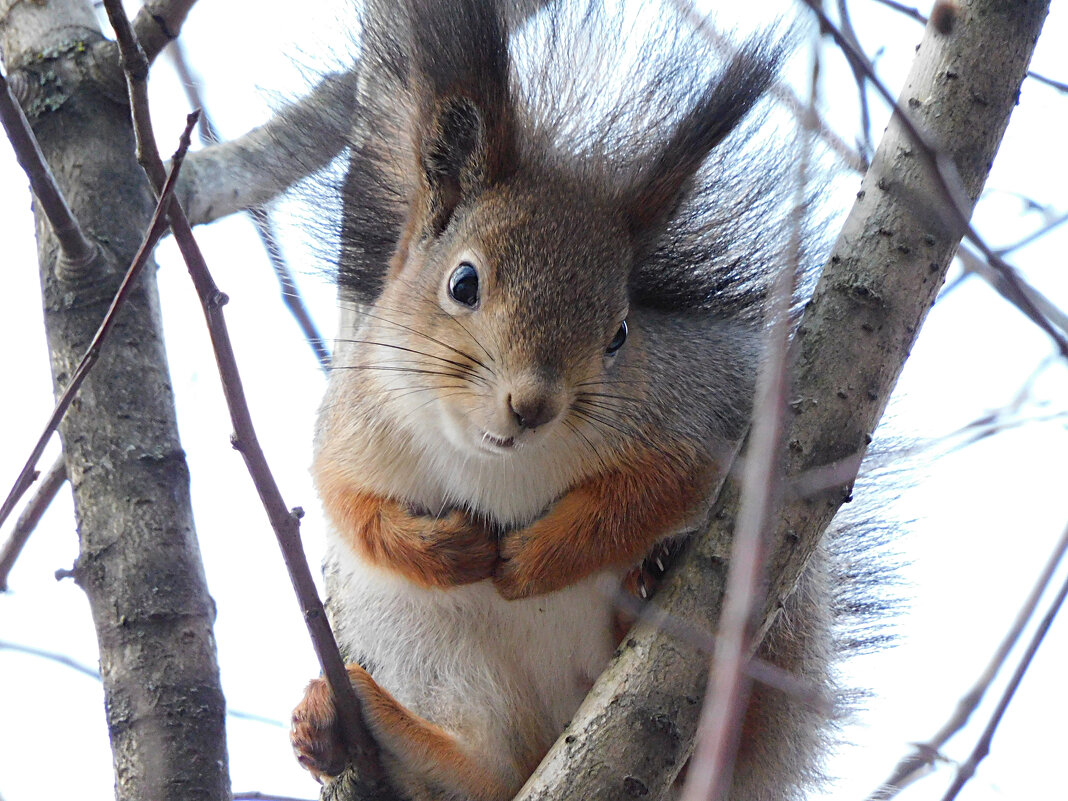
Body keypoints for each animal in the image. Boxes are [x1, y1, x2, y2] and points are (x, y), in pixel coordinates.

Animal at [290, 1, 833, 801]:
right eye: (462, 283)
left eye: (621, 333)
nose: (534, 404)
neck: (494, 462)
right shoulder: (354, 424)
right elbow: (351, 506)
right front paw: (446, 549)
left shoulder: (698, 414)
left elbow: (655, 491)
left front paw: (536, 559)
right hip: (446, 664)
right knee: (489, 772)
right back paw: (350, 714)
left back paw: (654, 595)